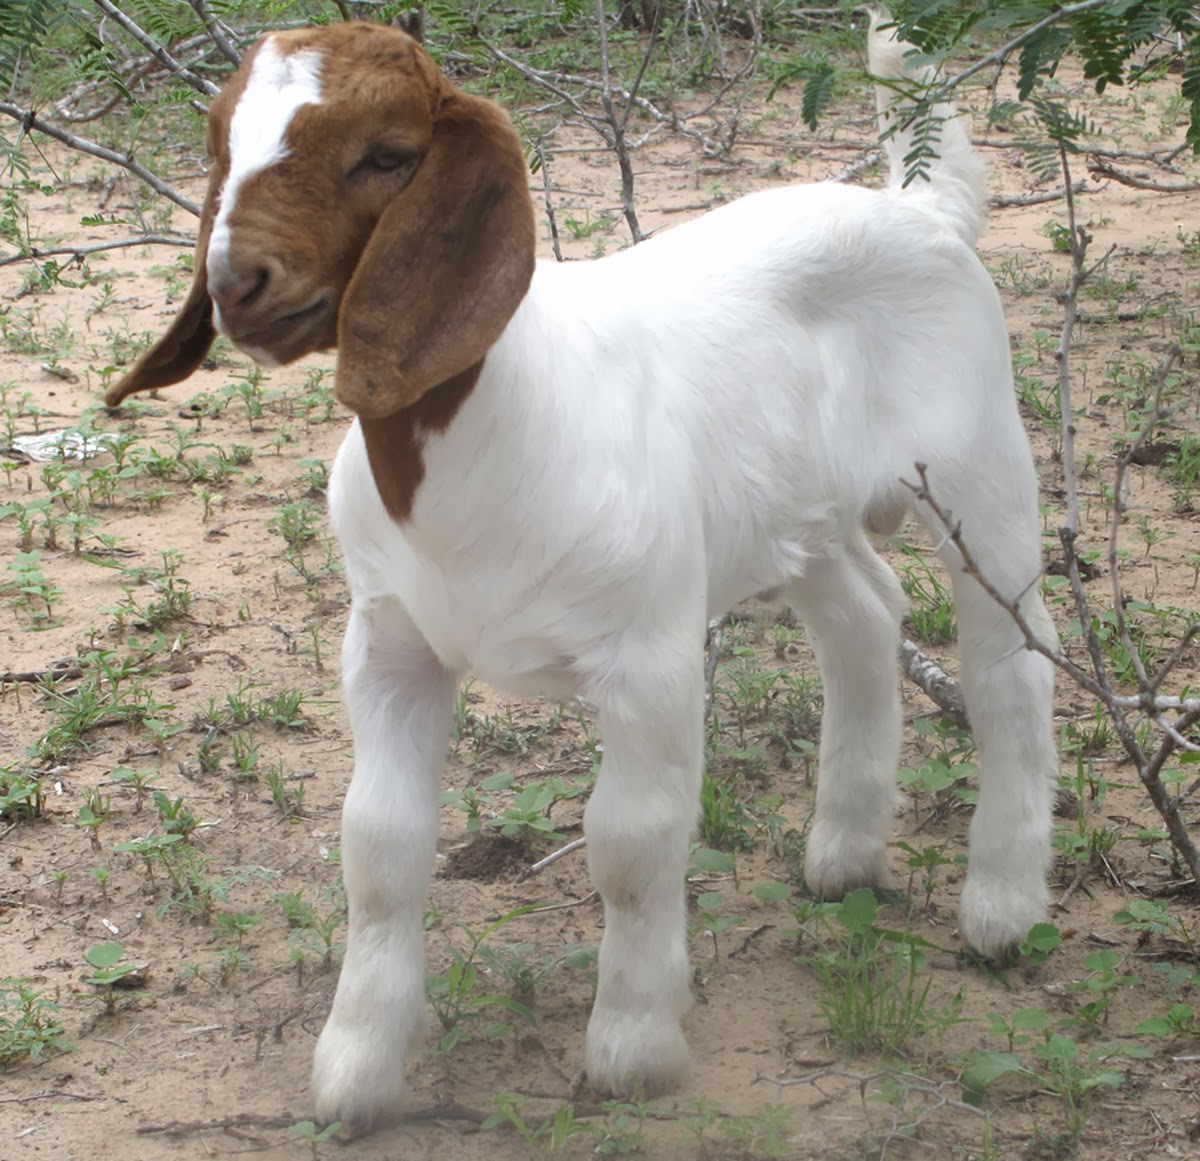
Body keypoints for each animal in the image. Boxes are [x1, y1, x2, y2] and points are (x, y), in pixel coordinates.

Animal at [105, 9, 1060, 1132]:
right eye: (220, 145)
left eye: (386, 155)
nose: (235, 284)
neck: (489, 435)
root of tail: (921, 210)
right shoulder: (388, 644)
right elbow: (379, 845)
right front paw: (357, 1070)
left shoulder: (648, 654)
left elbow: (632, 845)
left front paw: (633, 1050)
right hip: (794, 512)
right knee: (865, 616)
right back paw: (845, 857)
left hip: (977, 473)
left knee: (1012, 664)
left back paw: (1002, 908)